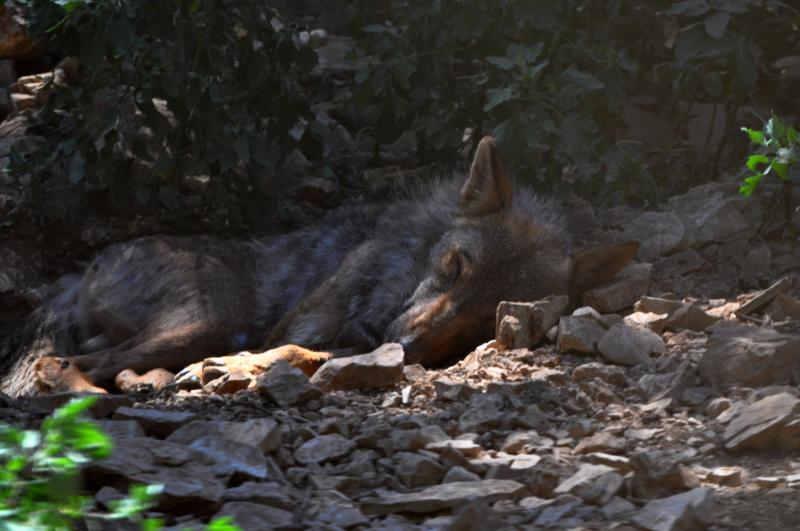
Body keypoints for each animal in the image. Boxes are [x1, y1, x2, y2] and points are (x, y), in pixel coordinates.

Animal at [1, 136, 638, 396]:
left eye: (494, 317)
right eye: (455, 266)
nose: (406, 345)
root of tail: (81, 273)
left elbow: (302, 354)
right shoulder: (309, 324)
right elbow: (297, 348)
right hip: (206, 319)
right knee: (64, 362)